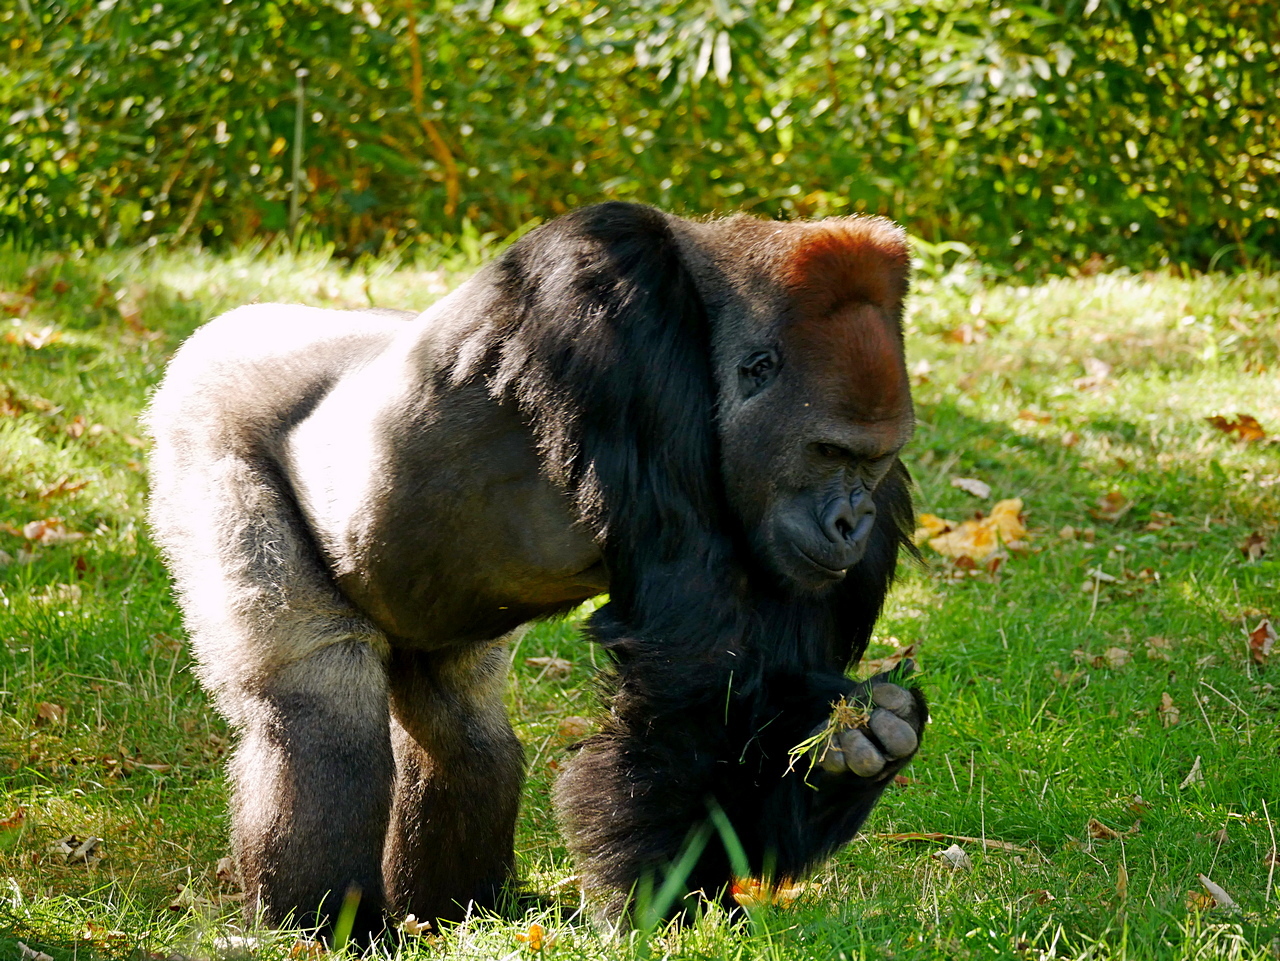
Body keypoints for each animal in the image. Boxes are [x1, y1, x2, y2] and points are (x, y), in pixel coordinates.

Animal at [147, 203, 931, 941]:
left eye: (870, 460)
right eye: (828, 452)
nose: (849, 522)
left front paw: (845, 744)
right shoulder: (610, 293)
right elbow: (694, 663)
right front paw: (664, 900)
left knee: (460, 728)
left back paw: (457, 912)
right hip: (206, 414)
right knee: (317, 711)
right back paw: (328, 928)